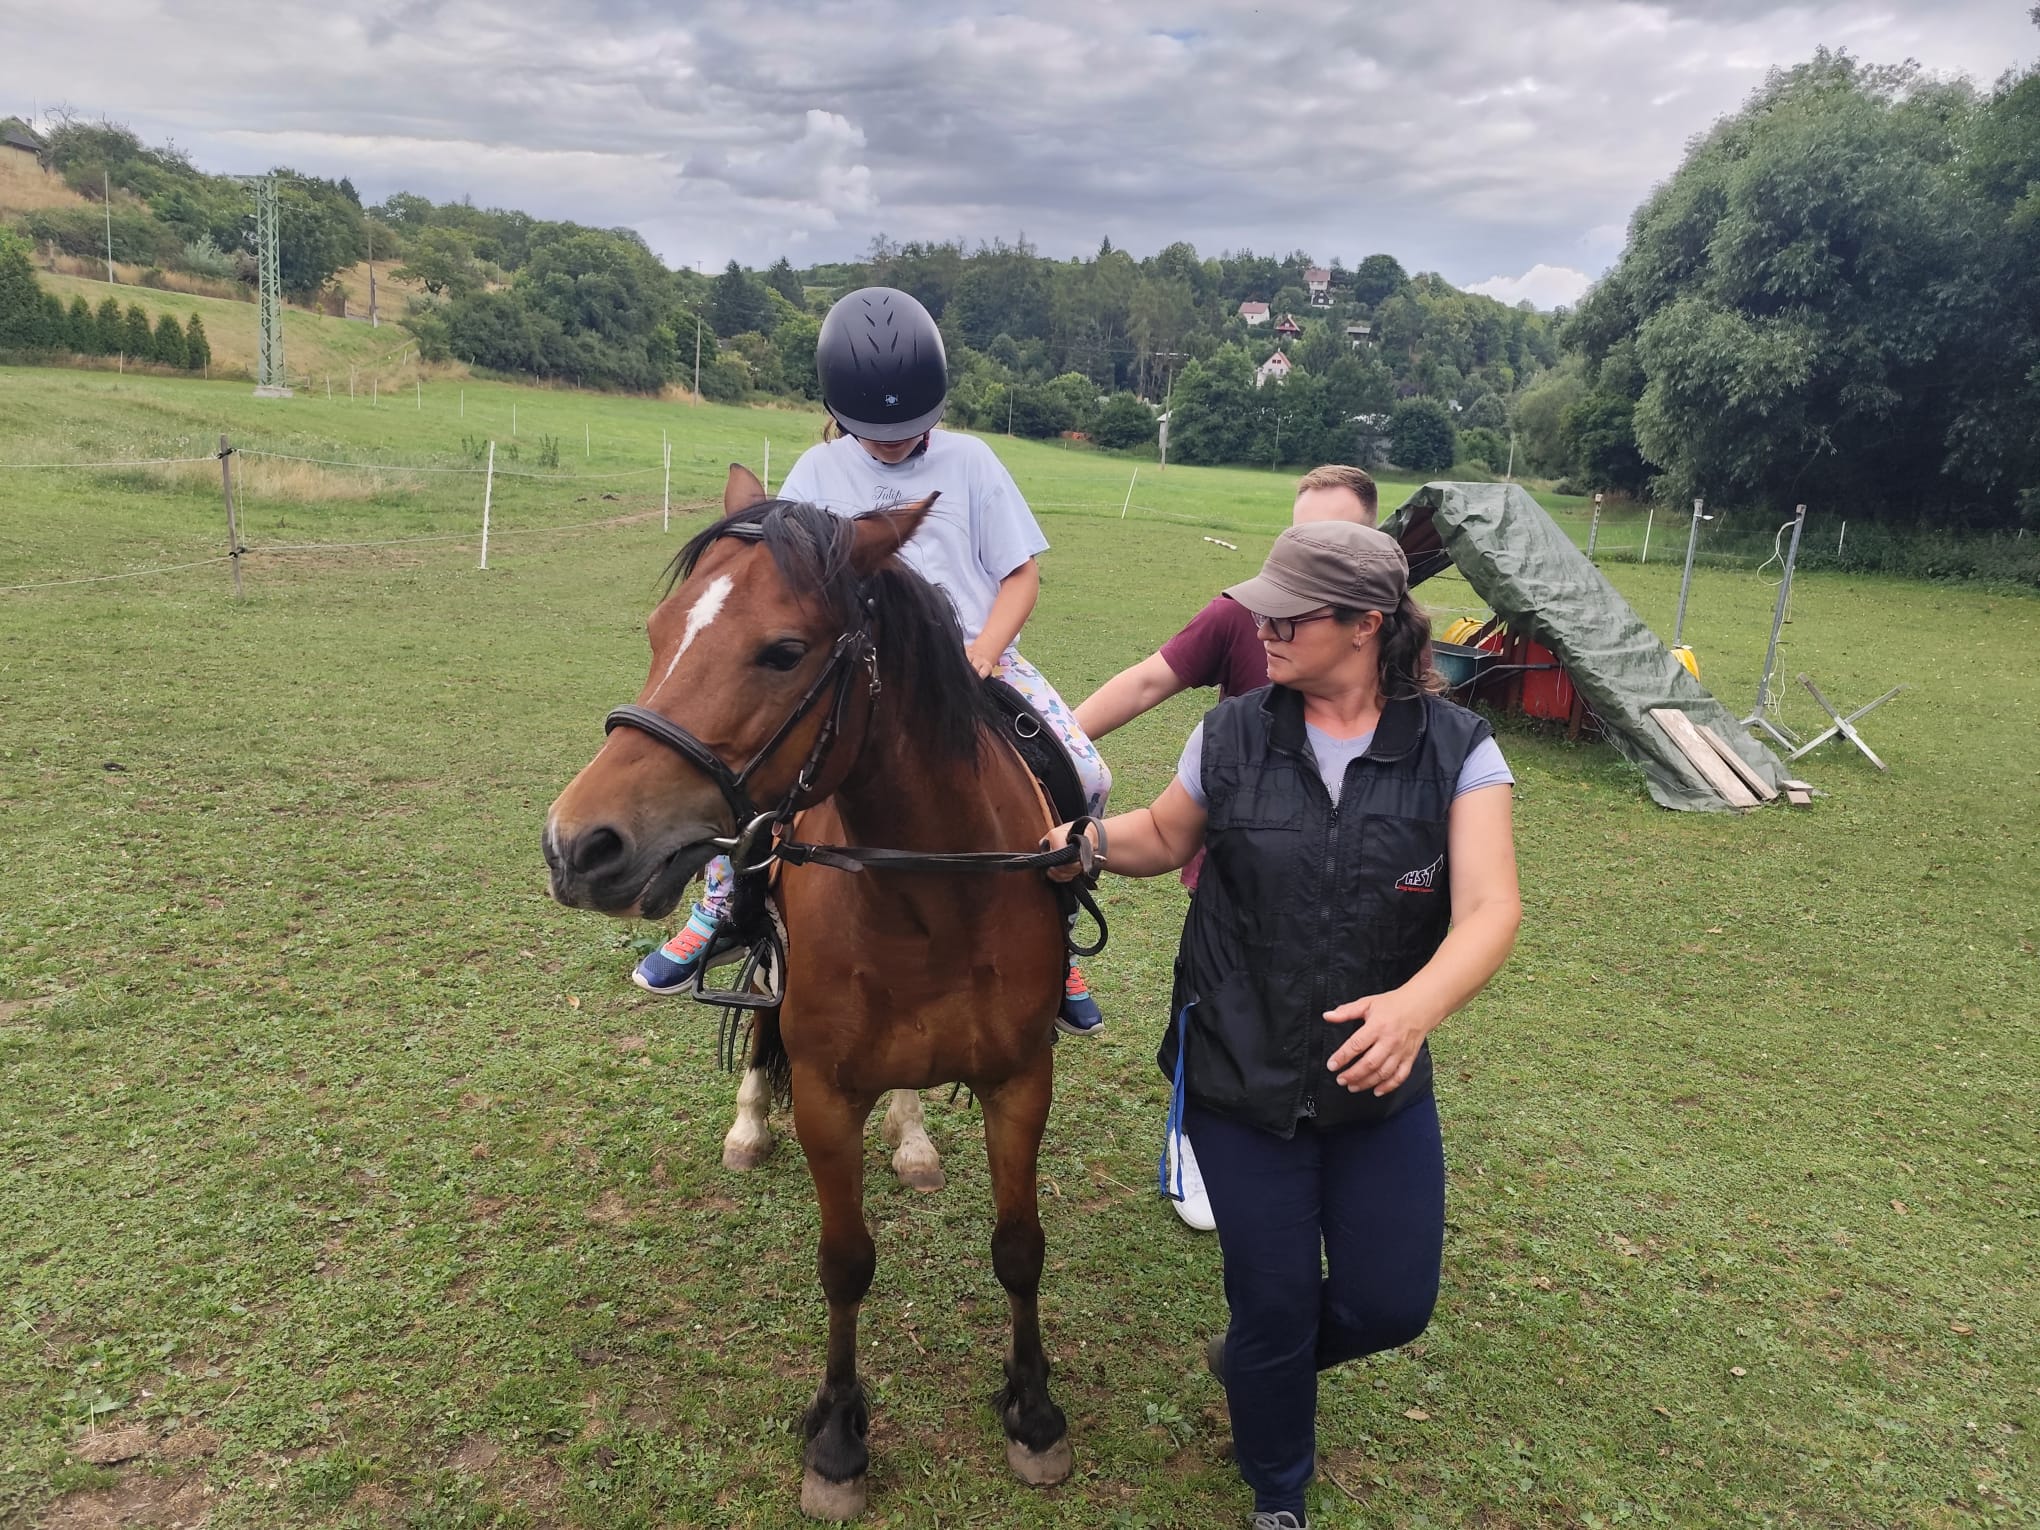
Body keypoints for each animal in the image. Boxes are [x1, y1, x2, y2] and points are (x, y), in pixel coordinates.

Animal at [543, 465, 1075, 1519]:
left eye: (783, 652)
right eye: (660, 632)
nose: (578, 845)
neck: (934, 892)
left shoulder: (1019, 1081)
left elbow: (1018, 1246)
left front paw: (1032, 1414)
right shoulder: (828, 1092)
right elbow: (845, 1263)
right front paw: (836, 1437)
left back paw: (912, 1141)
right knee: (760, 1038)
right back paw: (751, 1124)